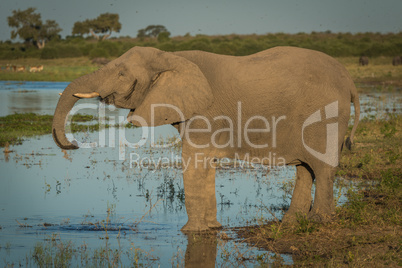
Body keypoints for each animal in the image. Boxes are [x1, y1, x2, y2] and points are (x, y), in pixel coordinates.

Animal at [51, 45, 360, 231]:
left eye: (120, 72)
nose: (72, 145)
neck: (171, 55)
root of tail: (350, 80)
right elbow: (204, 166)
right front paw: (212, 229)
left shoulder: (204, 112)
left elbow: (194, 162)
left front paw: (191, 232)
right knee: (305, 168)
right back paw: (291, 223)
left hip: (325, 117)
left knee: (322, 167)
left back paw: (319, 222)